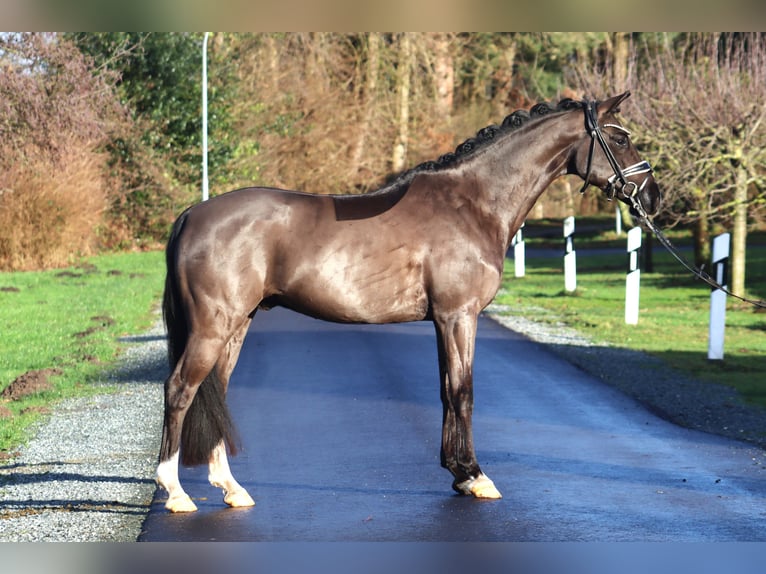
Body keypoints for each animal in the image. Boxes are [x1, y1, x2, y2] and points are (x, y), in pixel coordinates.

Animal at [154, 92, 660, 516]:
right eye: (620, 138)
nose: (653, 197)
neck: (472, 204)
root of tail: (192, 214)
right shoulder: (459, 316)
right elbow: (463, 391)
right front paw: (476, 477)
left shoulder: (443, 320)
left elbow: (445, 391)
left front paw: (458, 474)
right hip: (213, 327)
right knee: (180, 390)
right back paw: (176, 492)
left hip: (237, 325)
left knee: (214, 394)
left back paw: (231, 488)